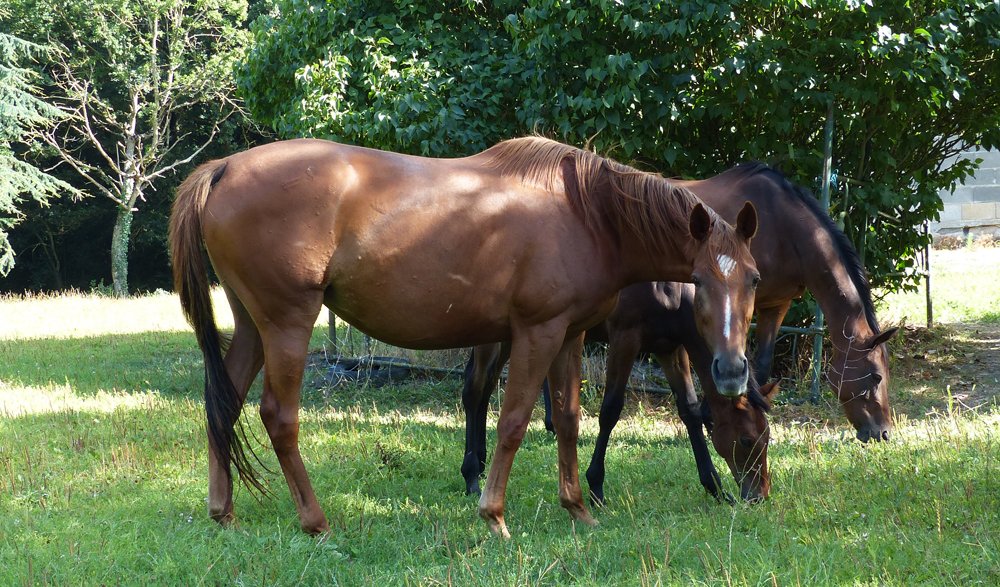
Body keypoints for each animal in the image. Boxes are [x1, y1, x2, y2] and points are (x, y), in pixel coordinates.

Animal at [461, 281, 780, 505]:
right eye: (747, 440)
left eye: (767, 437)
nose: (759, 495)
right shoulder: (625, 338)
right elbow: (611, 410)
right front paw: (596, 486)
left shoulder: (670, 348)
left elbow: (689, 410)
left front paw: (715, 486)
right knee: (474, 390)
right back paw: (471, 475)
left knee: (486, 388)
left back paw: (481, 463)